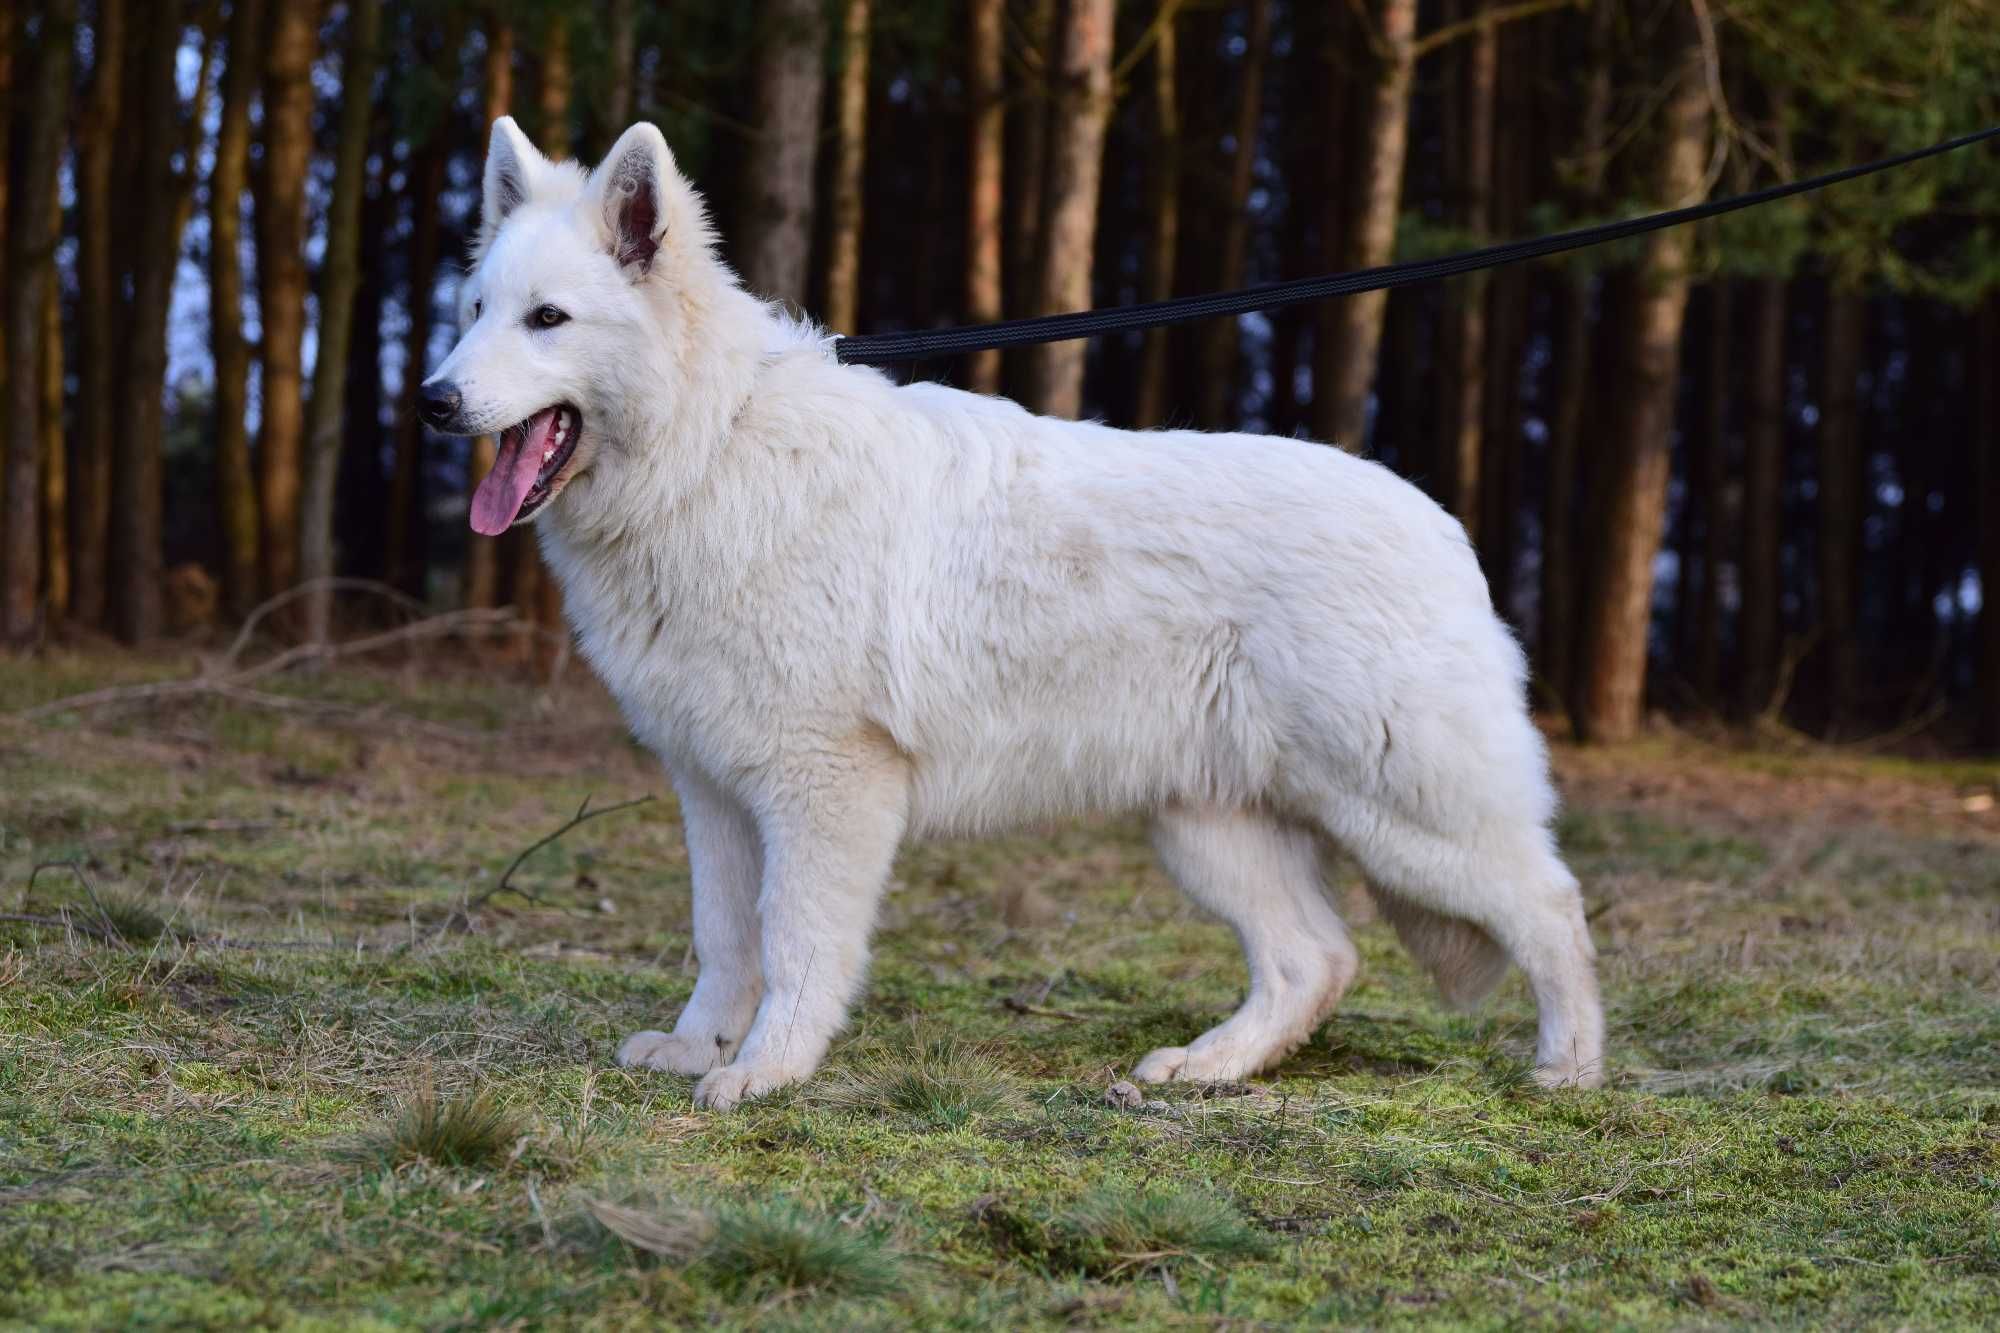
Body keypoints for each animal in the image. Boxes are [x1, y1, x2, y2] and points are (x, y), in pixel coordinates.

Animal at [422, 119, 1608, 1104]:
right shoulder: (712, 792)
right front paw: (696, 1045)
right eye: (475, 312)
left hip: (1406, 818)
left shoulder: (824, 789)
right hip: (1208, 828)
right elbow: (725, 939)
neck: (710, 450)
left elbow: (796, 943)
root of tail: (1443, 529)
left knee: (1552, 904)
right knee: (1317, 958)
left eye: (547, 320)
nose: (432, 399)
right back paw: (1206, 1068)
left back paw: (1569, 1068)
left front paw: (766, 1069)